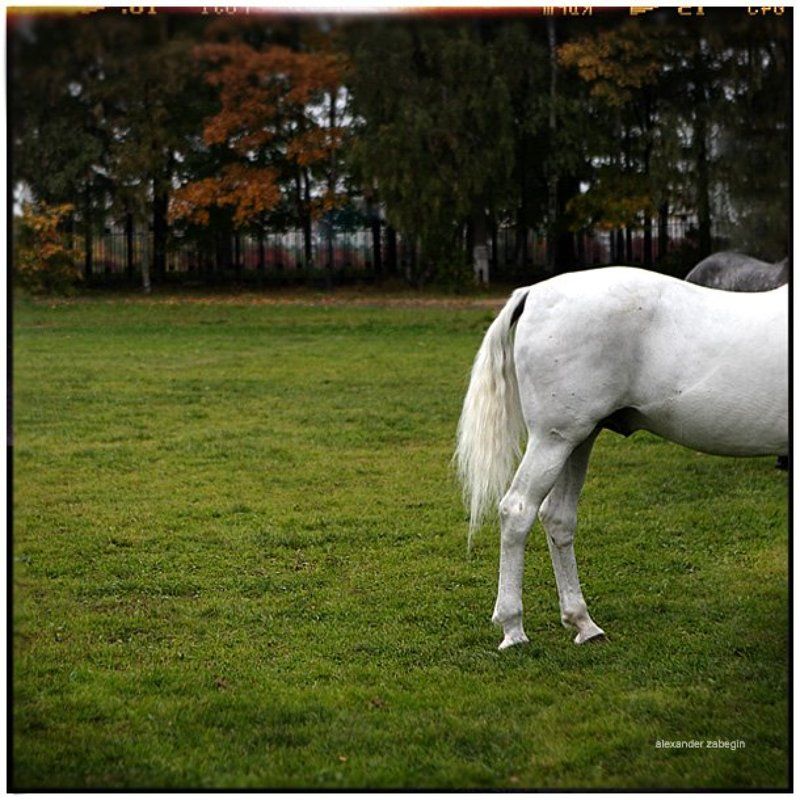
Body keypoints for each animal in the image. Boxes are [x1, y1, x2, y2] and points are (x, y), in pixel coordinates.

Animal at [454, 267, 788, 650]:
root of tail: (534, 292)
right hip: (553, 439)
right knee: (518, 509)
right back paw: (513, 628)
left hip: (578, 440)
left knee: (557, 518)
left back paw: (583, 623)